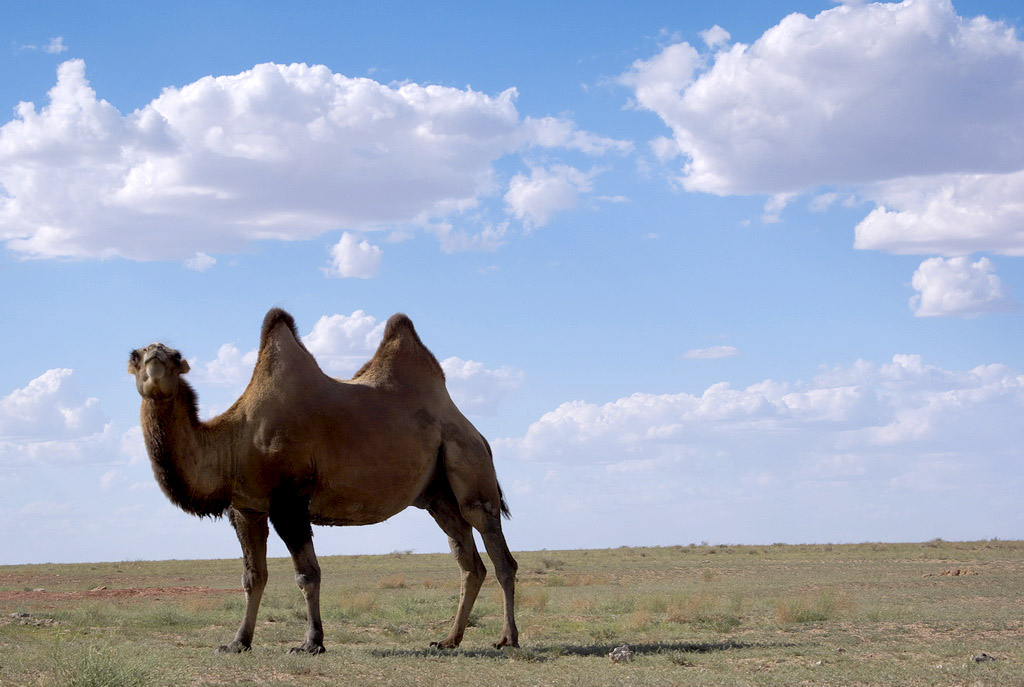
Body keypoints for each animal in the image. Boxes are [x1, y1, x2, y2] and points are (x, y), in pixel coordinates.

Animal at [128, 311, 520, 655]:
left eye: (176, 357)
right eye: (136, 354)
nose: (155, 357)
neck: (234, 440)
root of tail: (476, 432)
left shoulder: (289, 502)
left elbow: (307, 575)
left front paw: (311, 643)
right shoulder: (246, 508)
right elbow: (253, 577)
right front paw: (238, 642)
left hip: (469, 464)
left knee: (498, 552)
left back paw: (507, 639)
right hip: (437, 497)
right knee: (469, 562)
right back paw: (449, 640)